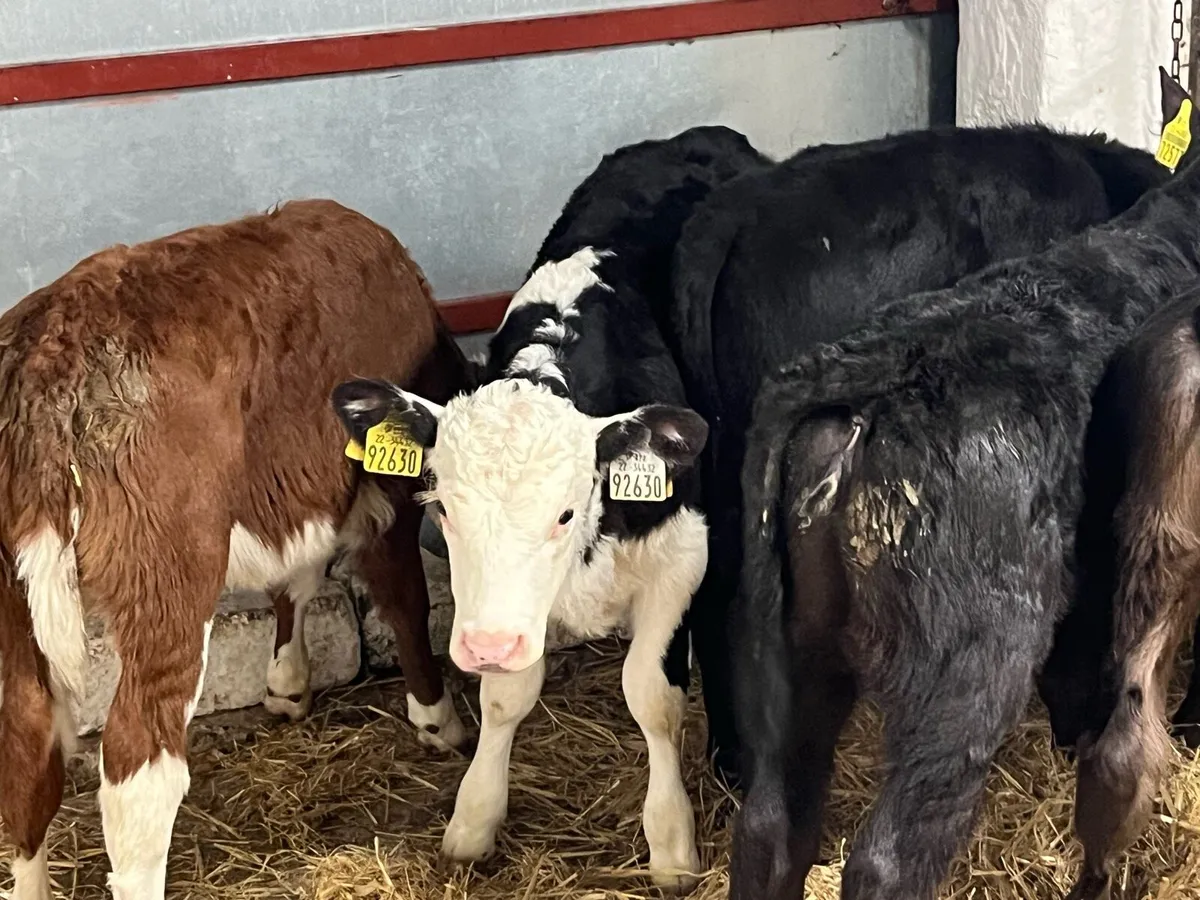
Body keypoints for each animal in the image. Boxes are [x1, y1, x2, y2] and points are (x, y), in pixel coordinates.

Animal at [0, 200, 471, 900]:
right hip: (168, 575)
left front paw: (287, 686)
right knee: (138, 767)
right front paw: (437, 718)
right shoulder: (384, 487)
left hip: (12, 595)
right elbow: (404, 596)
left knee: (27, 747)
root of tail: (48, 351)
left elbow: (294, 581)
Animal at [332, 125, 767, 890]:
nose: (484, 645)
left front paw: (672, 842)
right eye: (444, 510)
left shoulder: (681, 556)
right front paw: (474, 819)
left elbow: (651, 695)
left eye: (565, 512)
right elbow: (505, 696)